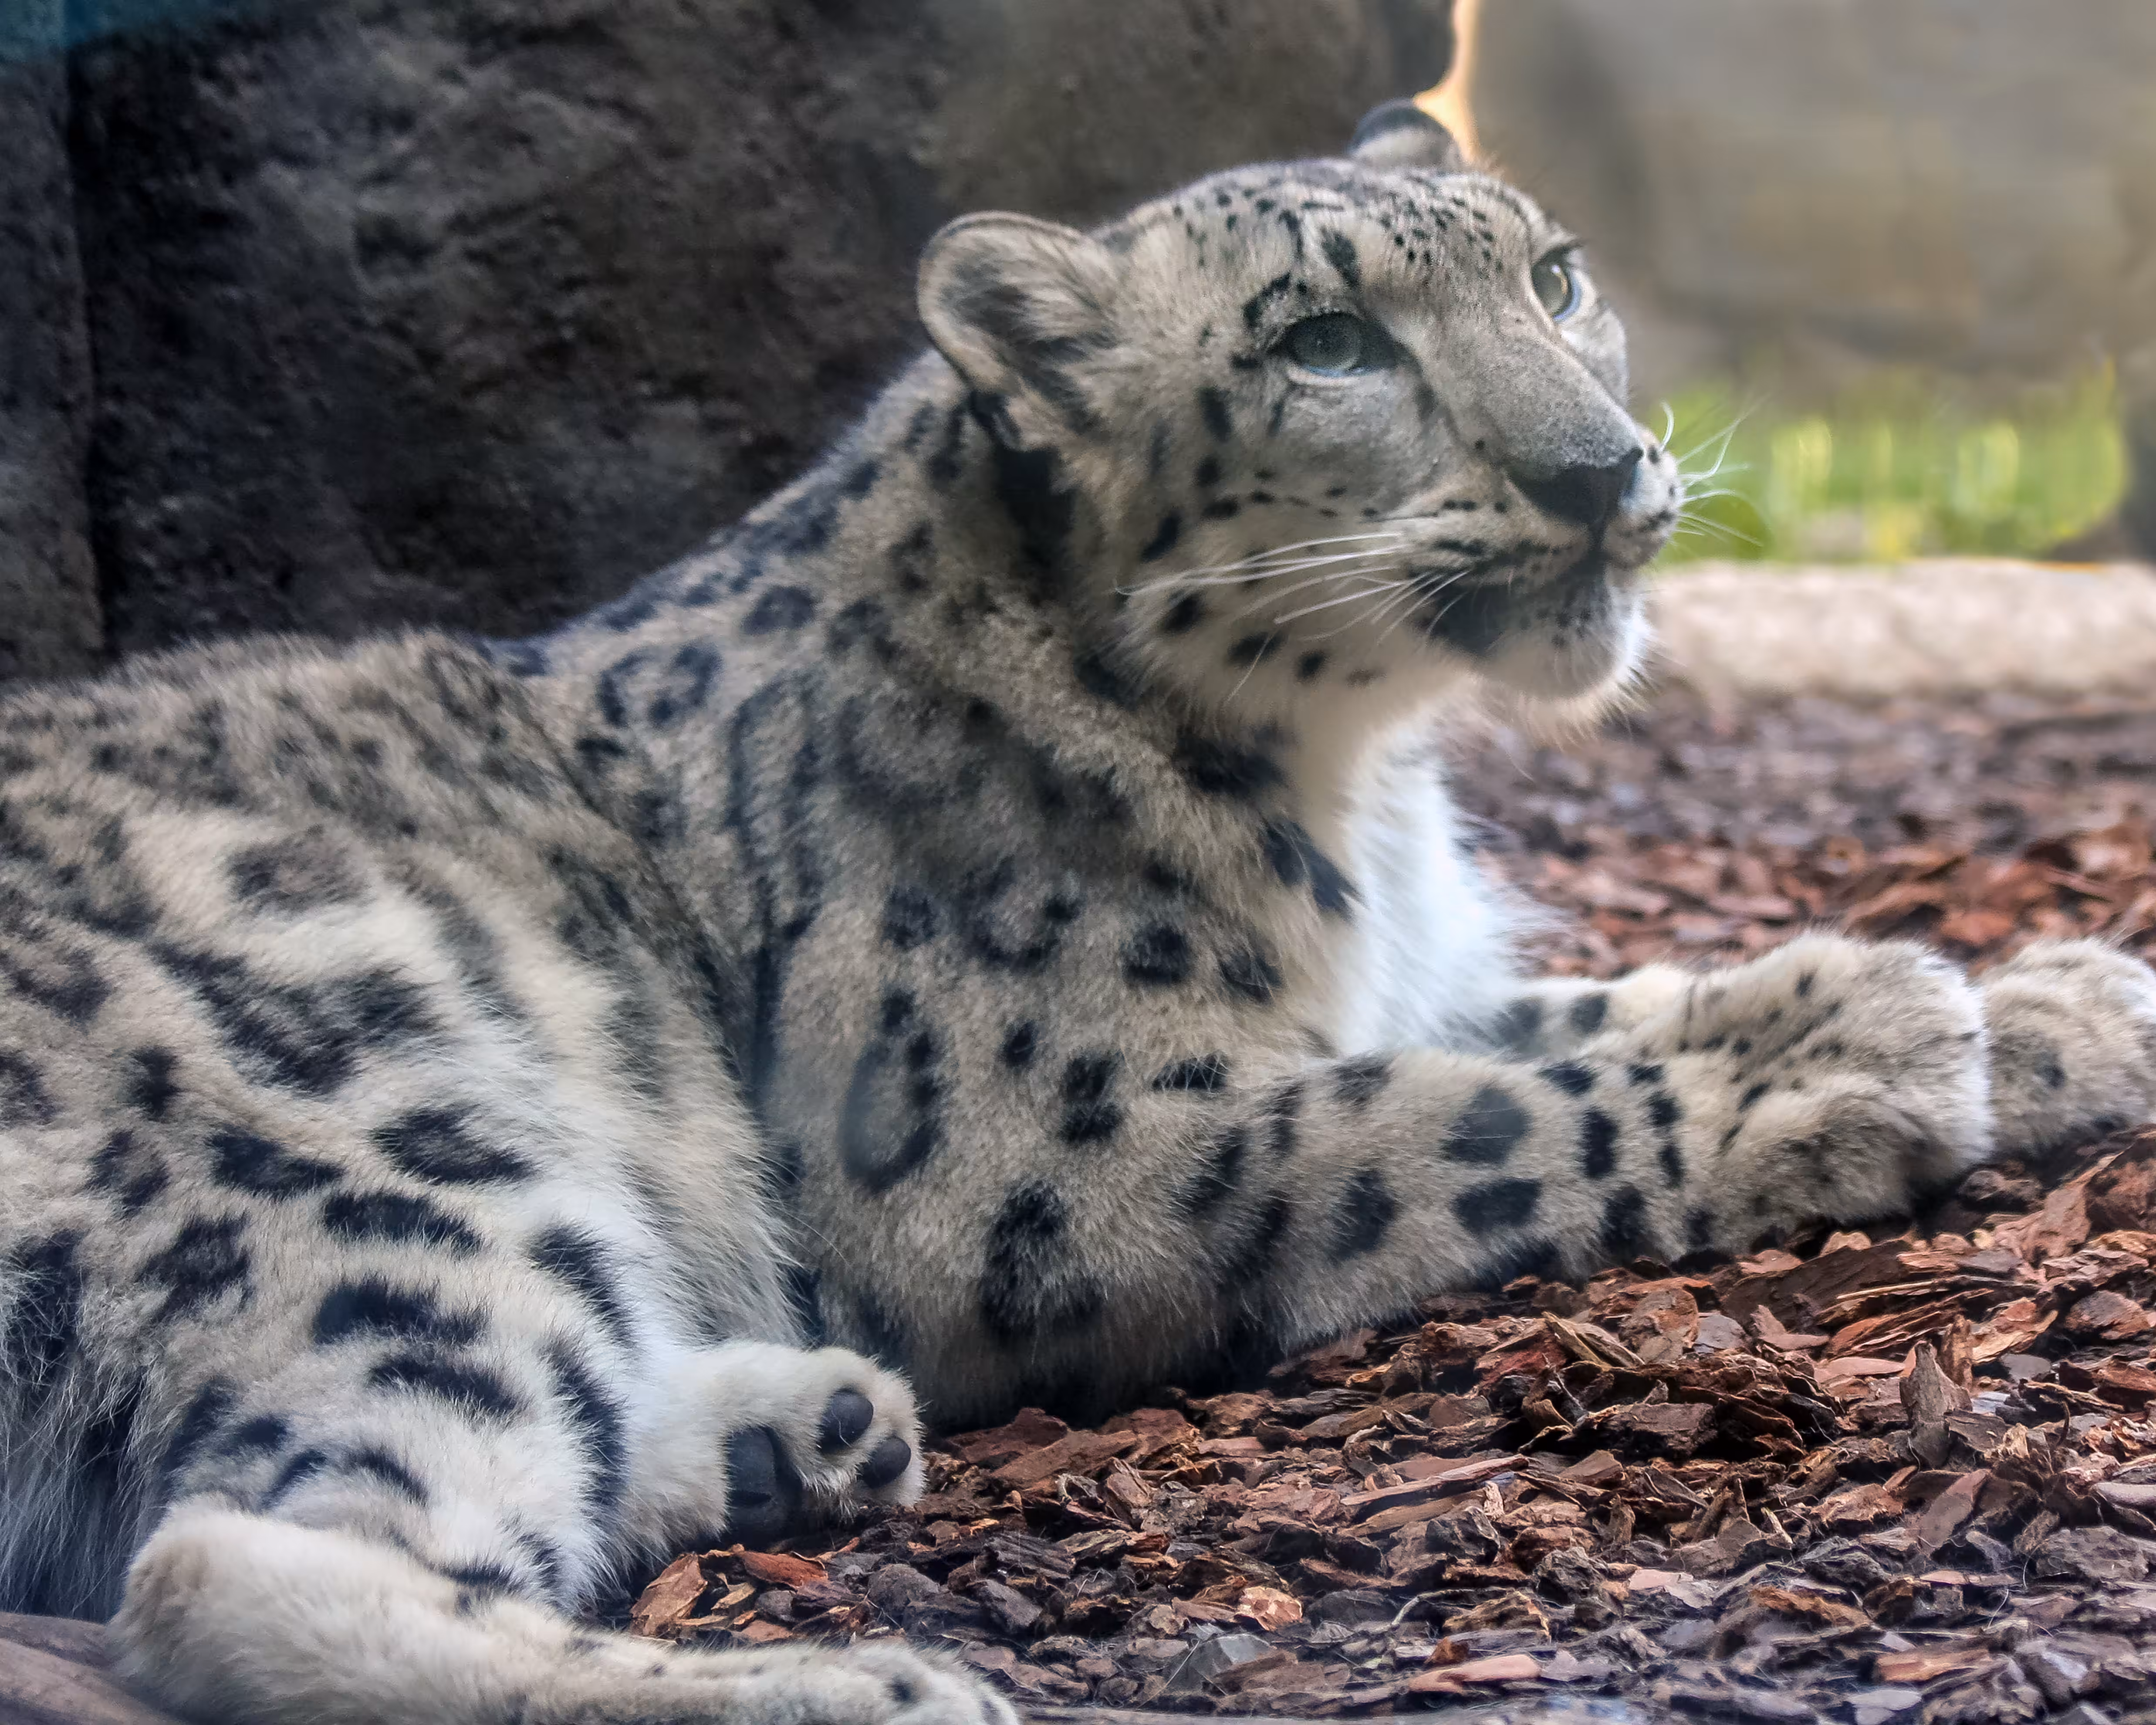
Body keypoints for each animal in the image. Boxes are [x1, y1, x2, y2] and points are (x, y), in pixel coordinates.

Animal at [3, 98, 2154, 1725]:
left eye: (1550, 274)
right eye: (1325, 342)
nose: (1599, 468)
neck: (1355, 795)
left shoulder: (1383, 981)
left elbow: (1562, 1015)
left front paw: (2051, 1003)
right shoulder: (1047, 1157)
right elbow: (1446, 1112)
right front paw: (1856, 1052)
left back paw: (799, 1427)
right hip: (381, 1143)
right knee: (236, 1557)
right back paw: (870, 1685)